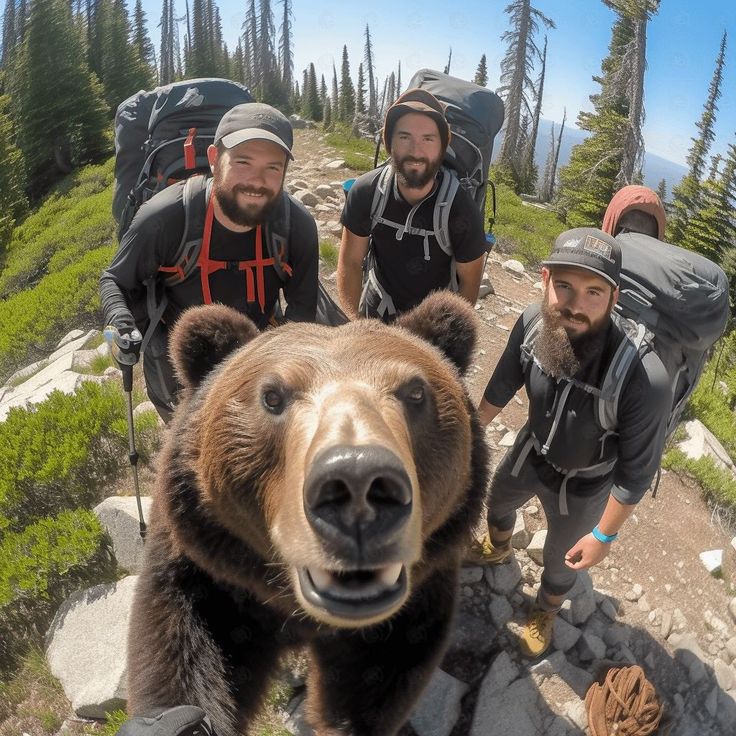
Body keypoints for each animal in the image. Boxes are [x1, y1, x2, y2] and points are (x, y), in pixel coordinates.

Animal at [126, 290, 488, 736]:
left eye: (415, 391)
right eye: (272, 396)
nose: (357, 481)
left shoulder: (417, 595)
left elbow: (378, 677)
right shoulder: (211, 572)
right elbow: (181, 646)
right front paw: (179, 718)